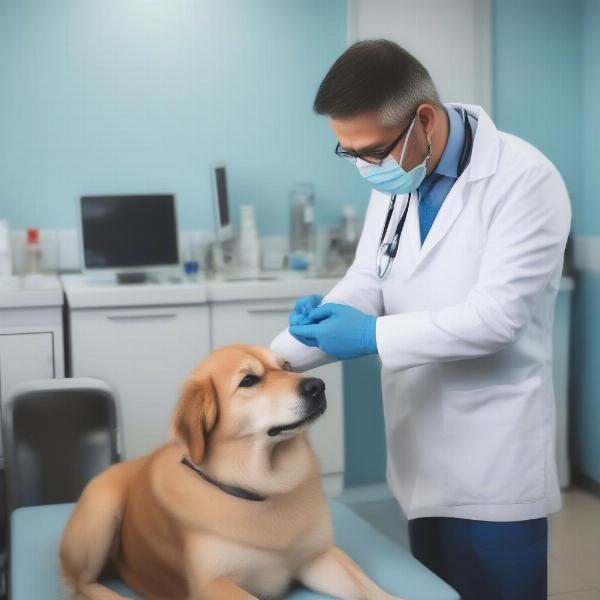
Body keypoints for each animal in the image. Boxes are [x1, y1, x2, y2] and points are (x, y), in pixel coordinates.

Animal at [59, 344, 404, 596]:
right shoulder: (213, 584)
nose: (317, 386)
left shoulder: (319, 556)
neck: (263, 487)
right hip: (100, 510)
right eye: (248, 380)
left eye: (287, 366)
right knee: (80, 584)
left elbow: (373, 592)